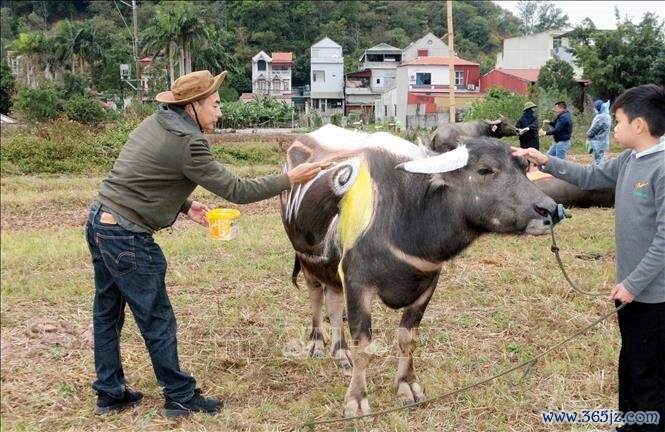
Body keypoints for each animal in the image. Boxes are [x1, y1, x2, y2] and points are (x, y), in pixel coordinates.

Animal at [278, 124, 556, 416]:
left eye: (525, 167)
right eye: (485, 170)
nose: (550, 209)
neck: (406, 213)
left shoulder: (428, 284)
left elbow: (407, 338)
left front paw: (407, 386)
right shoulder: (357, 282)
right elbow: (363, 344)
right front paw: (356, 400)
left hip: (331, 269)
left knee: (332, 301)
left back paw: (340, 352)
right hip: (307, 260)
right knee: (316, 298)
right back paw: (317, 344)